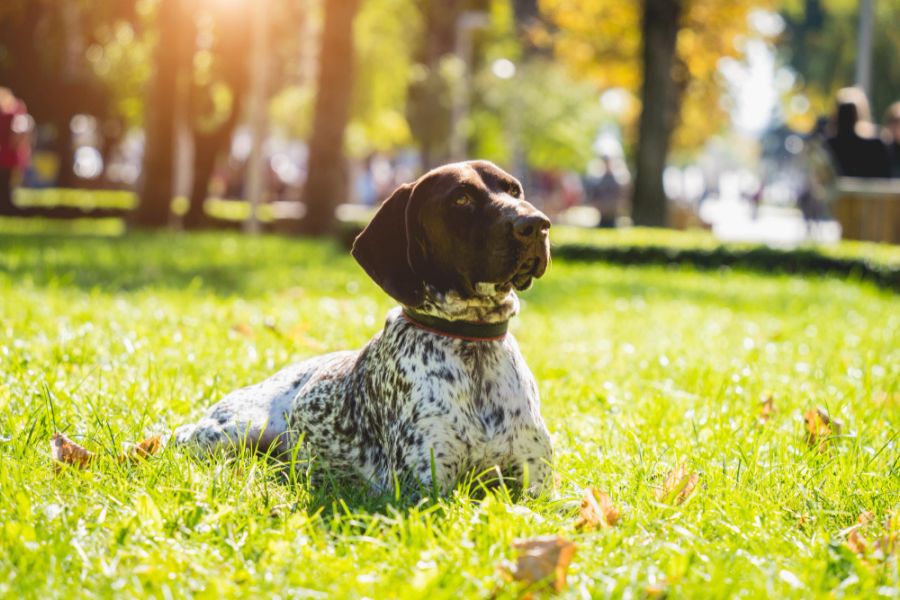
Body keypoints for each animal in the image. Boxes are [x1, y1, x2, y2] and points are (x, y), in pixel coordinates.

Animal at [172, 158, 552, 492]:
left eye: (514, 190)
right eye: (461, 198)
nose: (536, 224)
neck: (471, 345)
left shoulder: (540, 486)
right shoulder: (425, 488)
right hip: (229, 431)